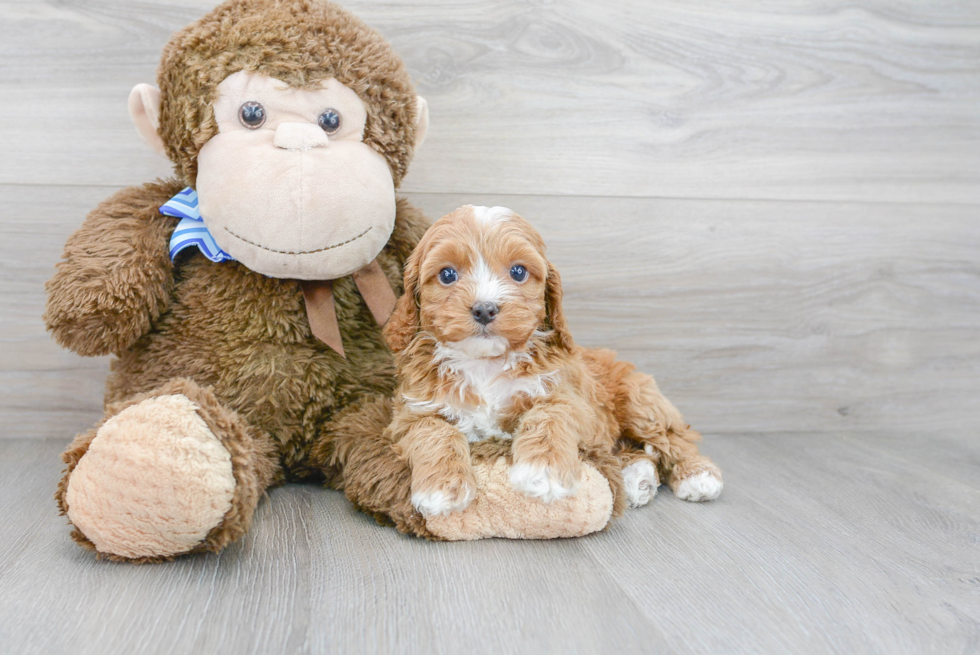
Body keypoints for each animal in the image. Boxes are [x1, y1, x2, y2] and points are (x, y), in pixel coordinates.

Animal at [382, 205, 720, 516]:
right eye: (447, 274)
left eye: (518, 272)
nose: (485, 309)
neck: (485, 362)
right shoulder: (414, 411)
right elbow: (435, 431)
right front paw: (443, 488)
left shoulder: (572, 399)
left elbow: (549, 415)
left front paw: (543, 470)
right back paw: (638, 480)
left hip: (639, 400)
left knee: (672, 437)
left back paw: (697, 475)